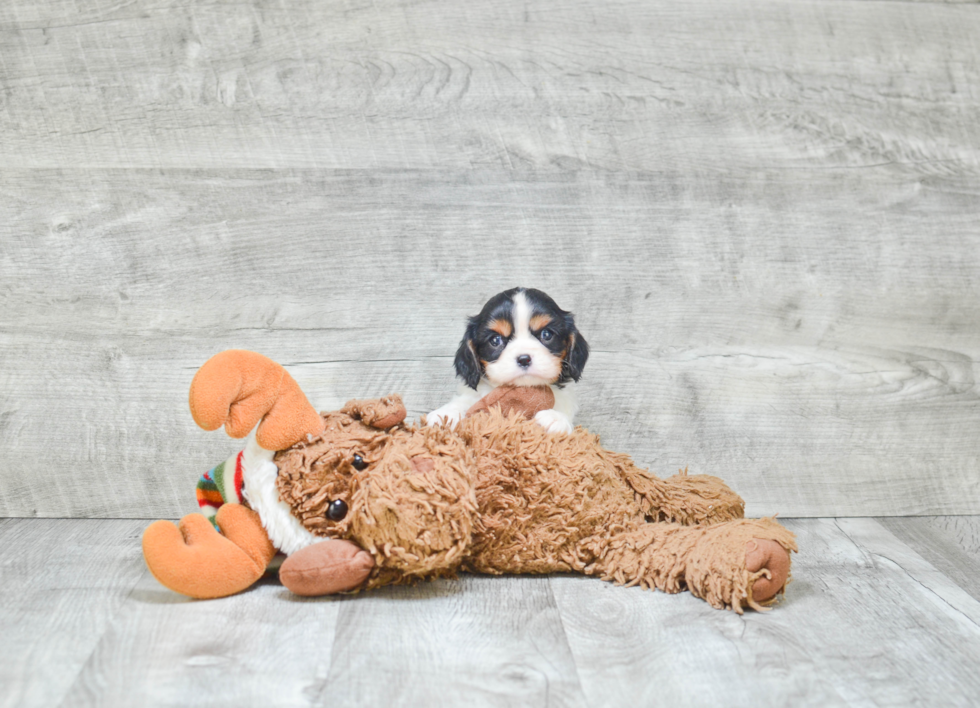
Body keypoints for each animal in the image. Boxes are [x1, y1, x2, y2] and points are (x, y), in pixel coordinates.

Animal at [428, 286, 588, 432]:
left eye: (546, 334)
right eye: (495, 340)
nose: (524, 359)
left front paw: (556, 418)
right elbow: (466, 401)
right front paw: (445, 414)